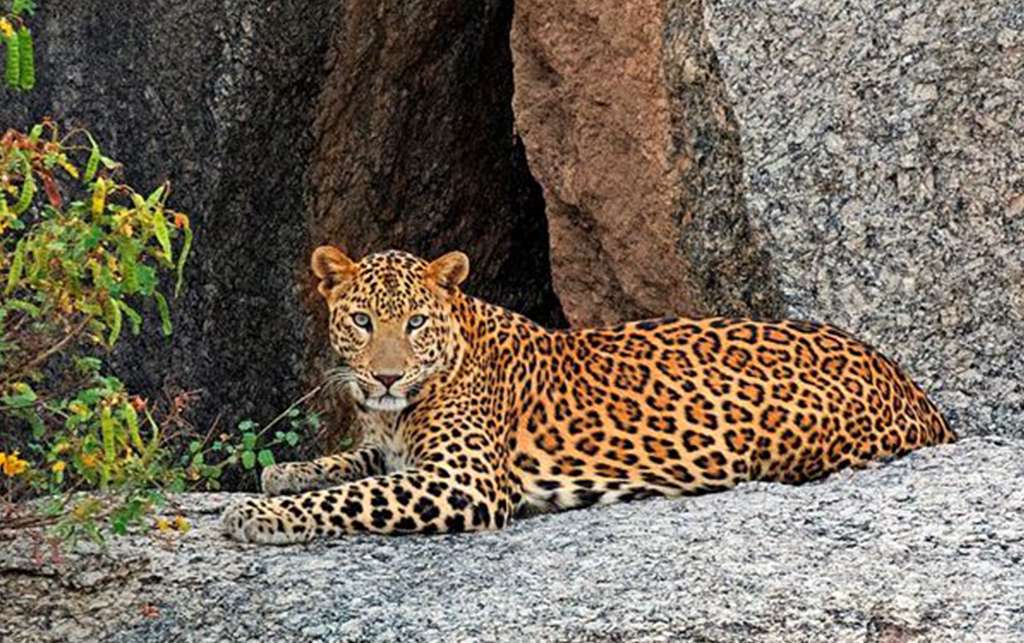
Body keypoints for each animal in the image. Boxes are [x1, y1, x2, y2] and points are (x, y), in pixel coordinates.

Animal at [221, 247, 955, 543]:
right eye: (362, 320)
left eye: (416, 323)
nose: (385, 377)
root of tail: (913, 388)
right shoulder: (403, 453)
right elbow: (352, 465)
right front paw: (285, 472)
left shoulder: (464, 481)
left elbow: (353, 497)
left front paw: (258, 514)